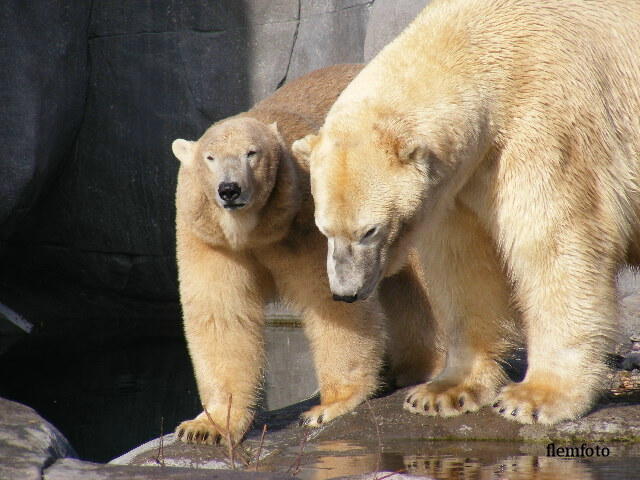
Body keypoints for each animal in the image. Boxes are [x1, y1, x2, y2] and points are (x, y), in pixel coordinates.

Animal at [170, 64, 440, 446]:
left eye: (251, 153)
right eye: (210, 158)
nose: (229, 189)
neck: (255, 230)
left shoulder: (308, 218)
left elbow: (330, 302)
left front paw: (329, 405)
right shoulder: (208, 236)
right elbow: (222, 315)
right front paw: (206, 426)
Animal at [294, 0, 640, 428]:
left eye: (369, 231)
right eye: (324, 230)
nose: (345, 293)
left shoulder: (550, 127)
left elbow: (555, 246)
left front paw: (535, 396)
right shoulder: (459, 181)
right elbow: (463, 263)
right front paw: (443, 391)